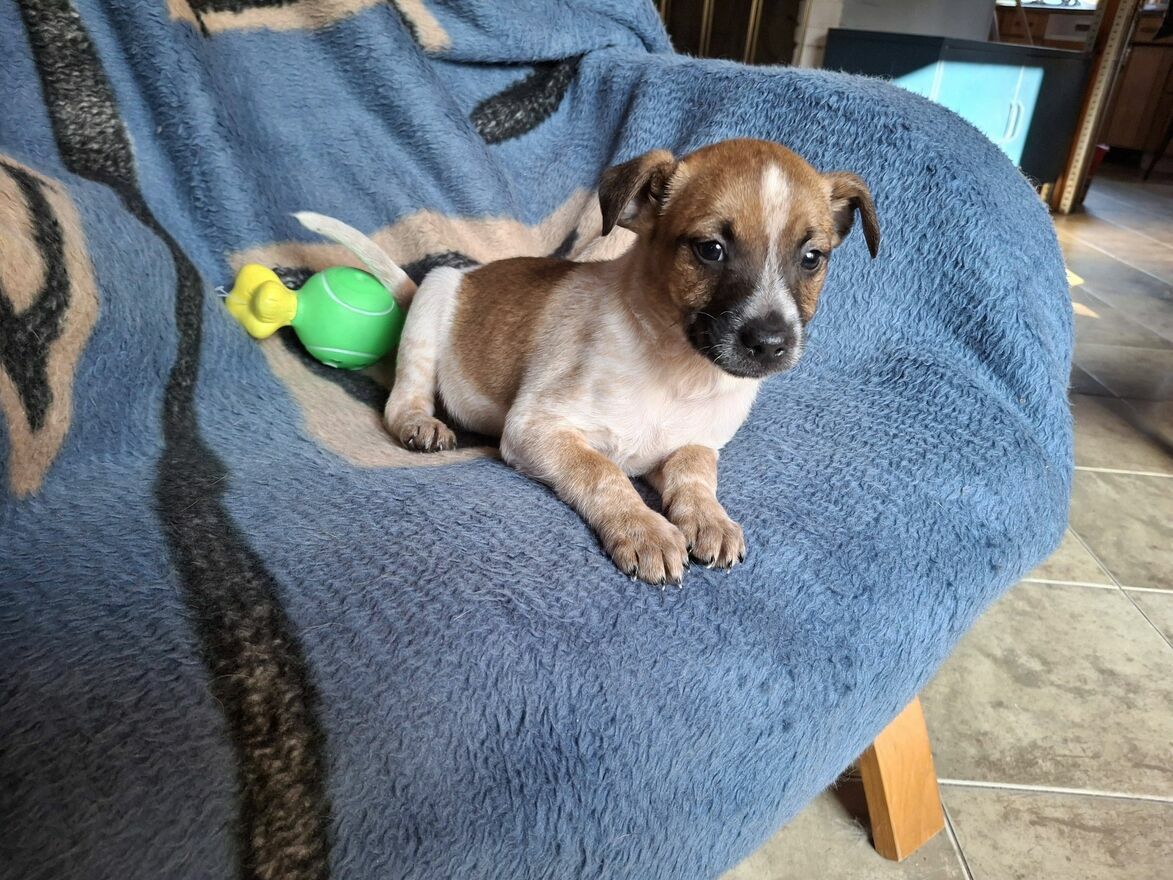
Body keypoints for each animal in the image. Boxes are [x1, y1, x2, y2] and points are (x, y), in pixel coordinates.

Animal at [383, 139, 879, 584]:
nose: (771, 343)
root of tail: (473, 272)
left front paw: (710, 519)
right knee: (402, 397)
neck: (679, 369)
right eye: (711, 250)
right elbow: (601, 471)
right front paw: (644, 530)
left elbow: (696, 472)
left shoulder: (695, 442)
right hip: (430, 301)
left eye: (812, 258)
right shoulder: (535, 427)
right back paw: (420, 424)